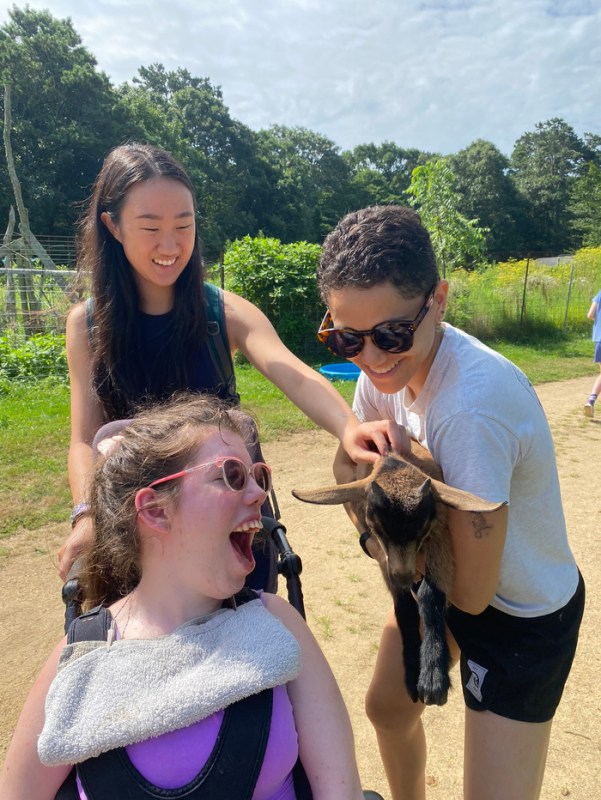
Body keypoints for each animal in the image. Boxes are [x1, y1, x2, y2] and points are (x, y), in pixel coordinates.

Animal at [290, 444, 502, 708]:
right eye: (376, 527)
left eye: (422, 528)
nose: (404, 577)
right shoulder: (382, 555)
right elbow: (403, 607)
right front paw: (412, 675)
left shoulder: (439, 531)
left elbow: (430, 596)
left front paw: (433, 679)